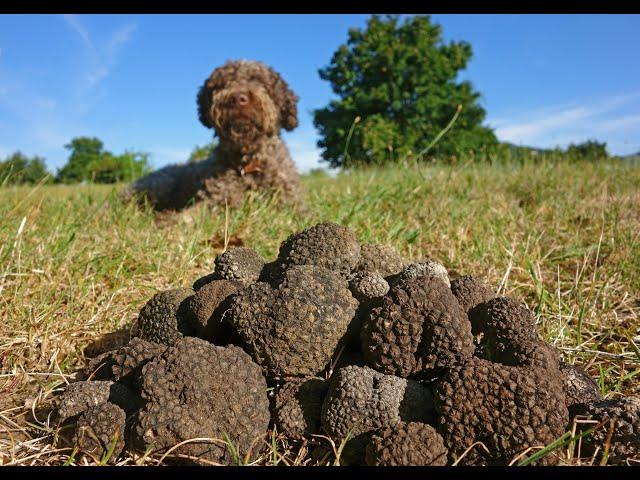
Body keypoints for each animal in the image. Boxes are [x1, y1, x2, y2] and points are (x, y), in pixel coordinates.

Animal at [122, 59, 302, 210]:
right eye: (221, 85)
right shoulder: (215, 200)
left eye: (259, 81)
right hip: (160, 184)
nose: (238, 98)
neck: (247, 163)